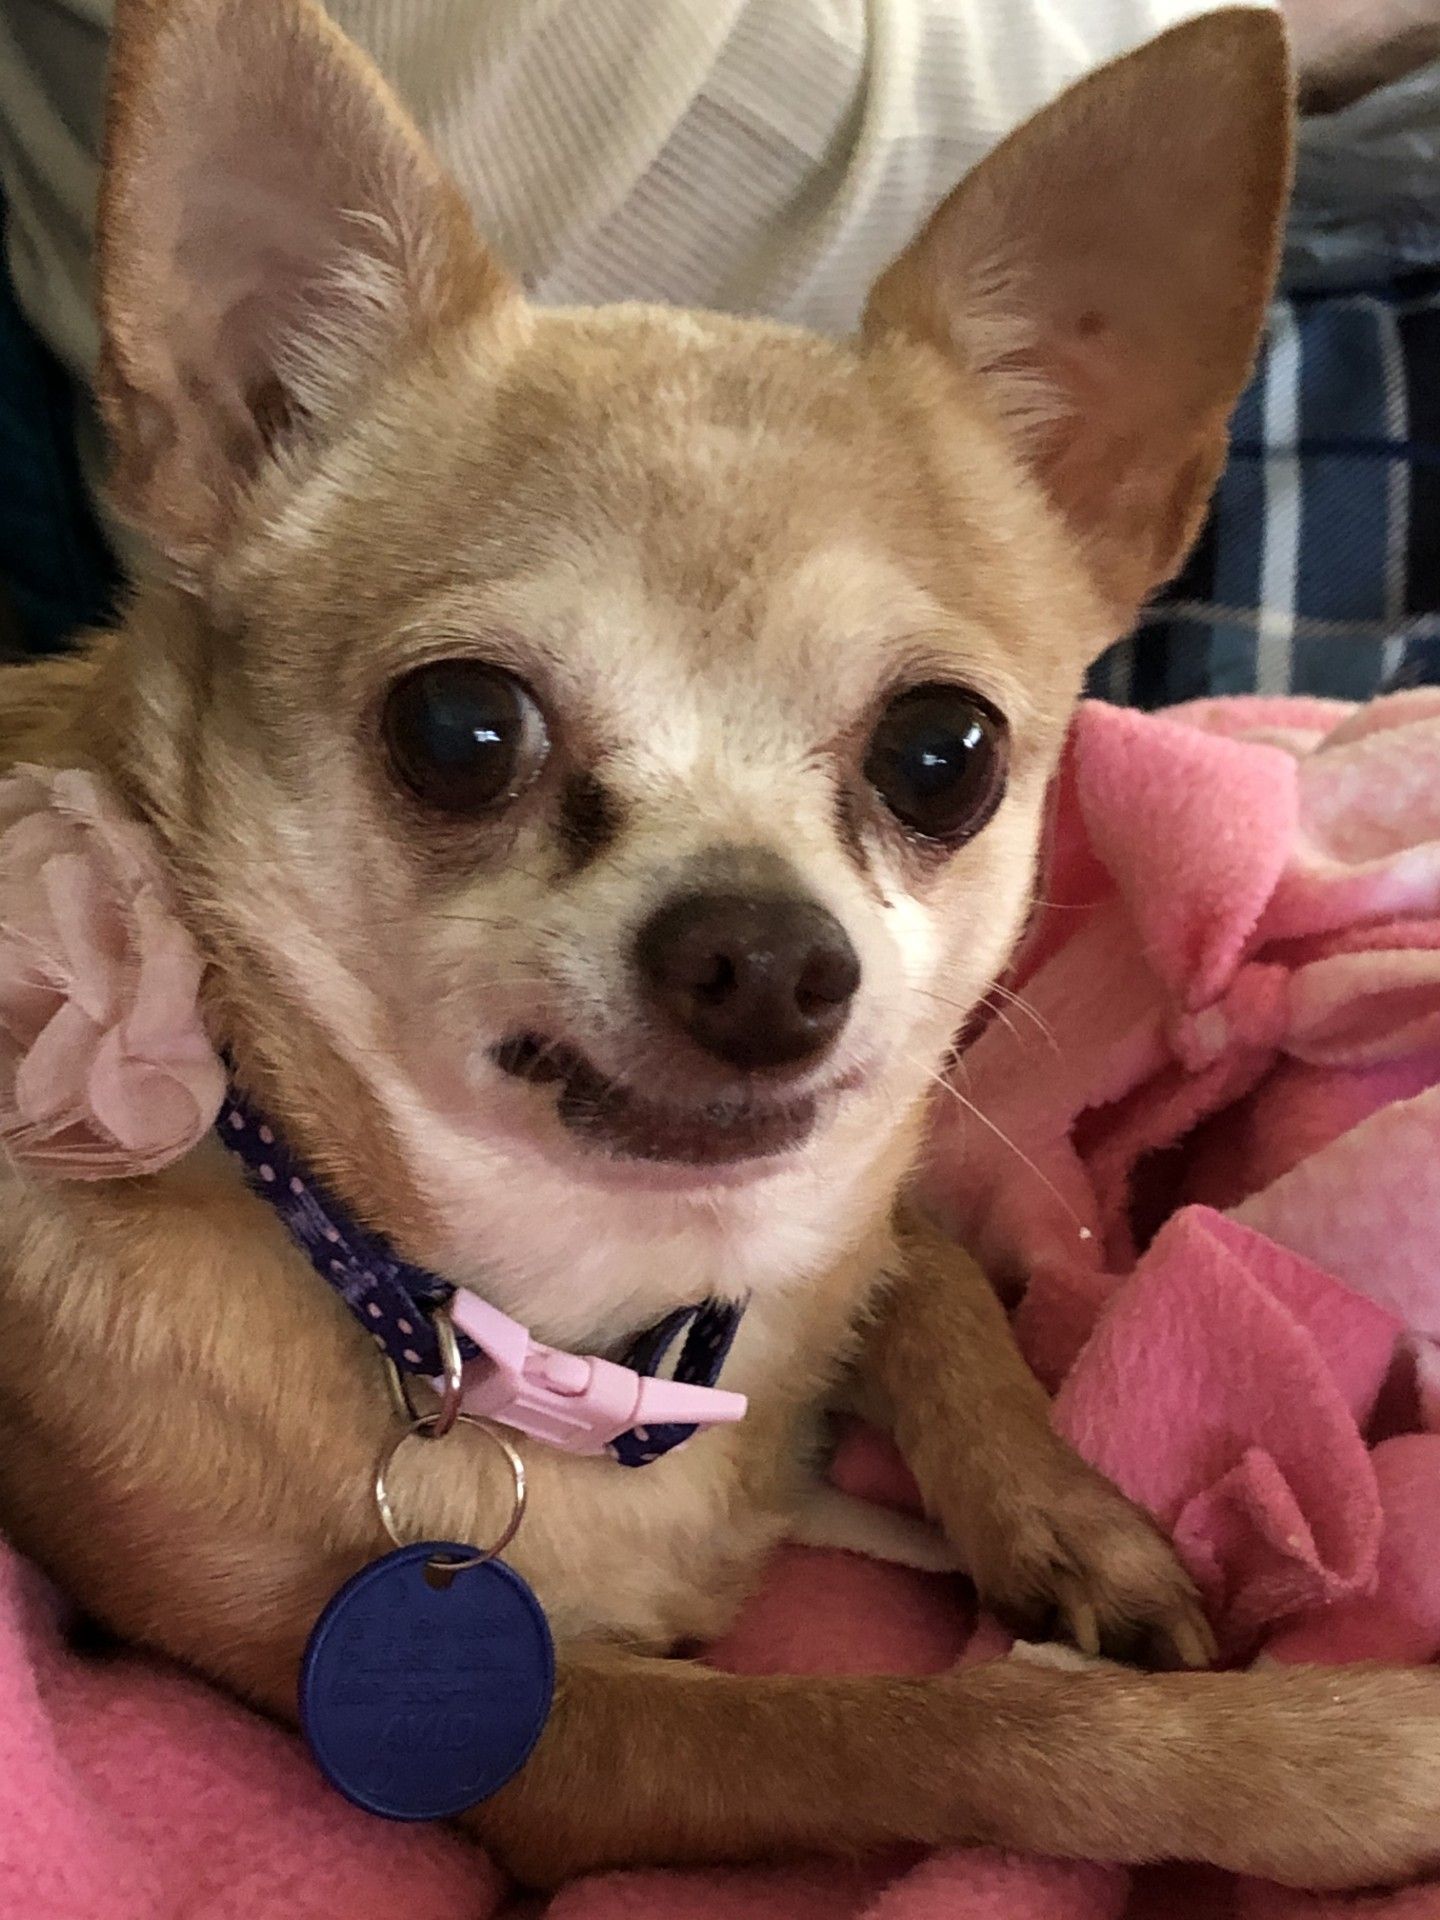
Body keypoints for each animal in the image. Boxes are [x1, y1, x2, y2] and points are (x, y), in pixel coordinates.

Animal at [1, 0, 1438, 1893]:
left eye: (946, 753)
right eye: (459, 728)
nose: (763, 955)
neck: (609, 1316)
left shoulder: (871, 1218)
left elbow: (935, 1271)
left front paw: (1077, 1521)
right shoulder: (557, 1752)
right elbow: (943, 1730)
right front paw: (1333, 1759)